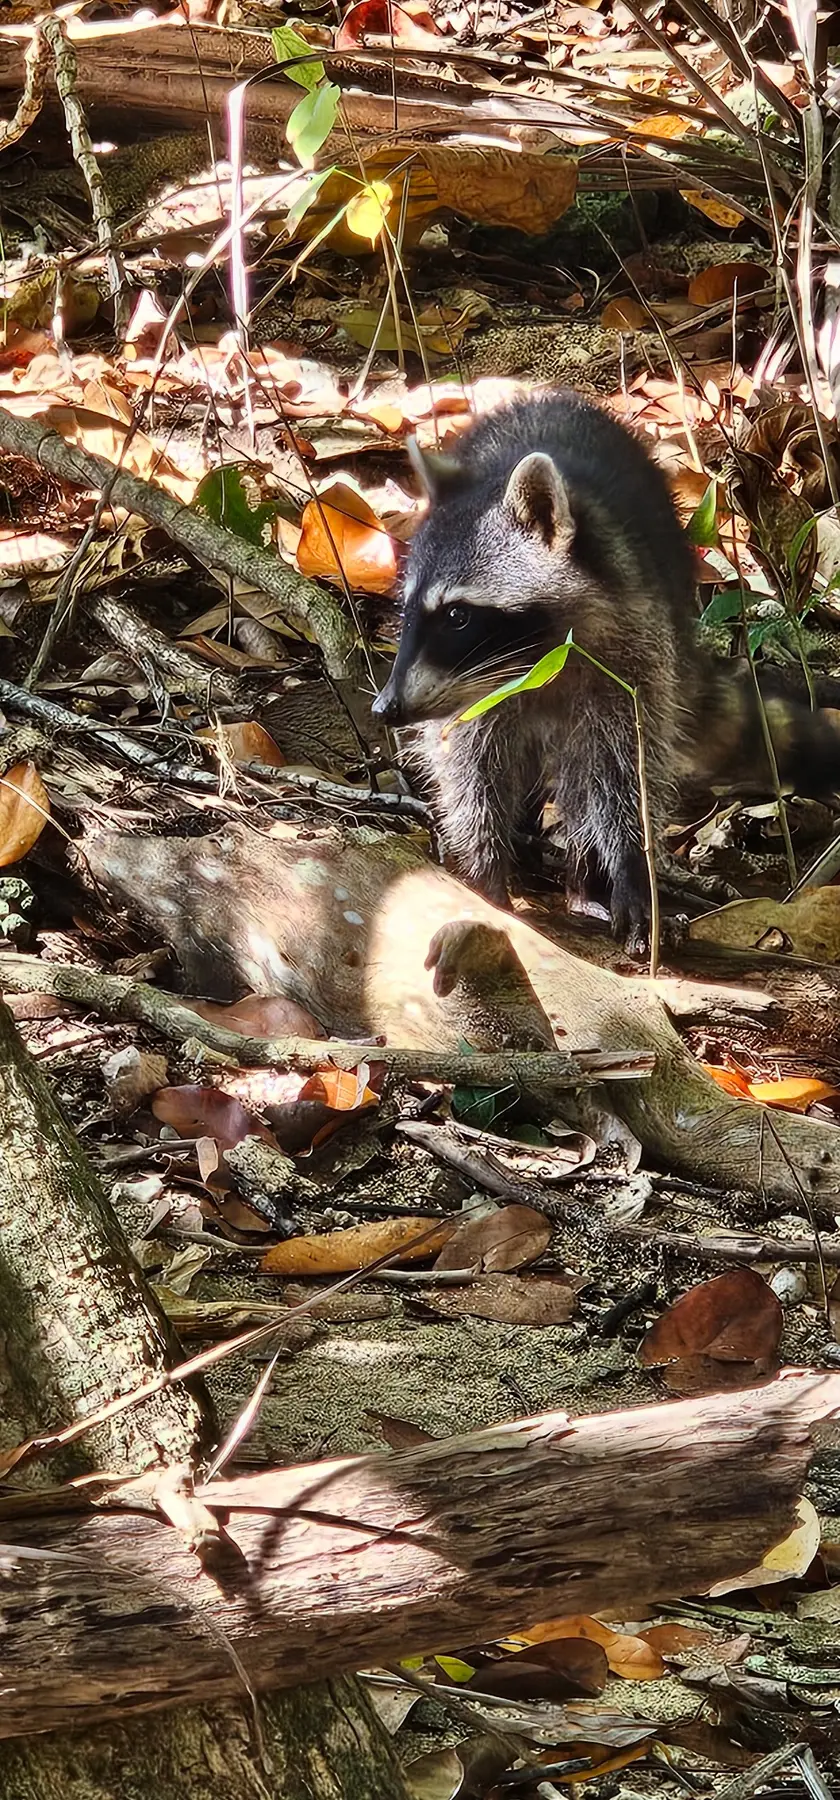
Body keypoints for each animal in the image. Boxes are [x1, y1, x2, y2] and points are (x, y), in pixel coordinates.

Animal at [371, 391, 840, 943]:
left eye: (457, 616)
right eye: (405, 611)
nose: (386, 709)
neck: (535, 663)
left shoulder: (632, 655)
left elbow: (626, 767)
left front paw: (630, 868)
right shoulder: (474, 694)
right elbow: (471, 770)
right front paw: (483, 867)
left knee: (585, 778)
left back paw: (583, 882)